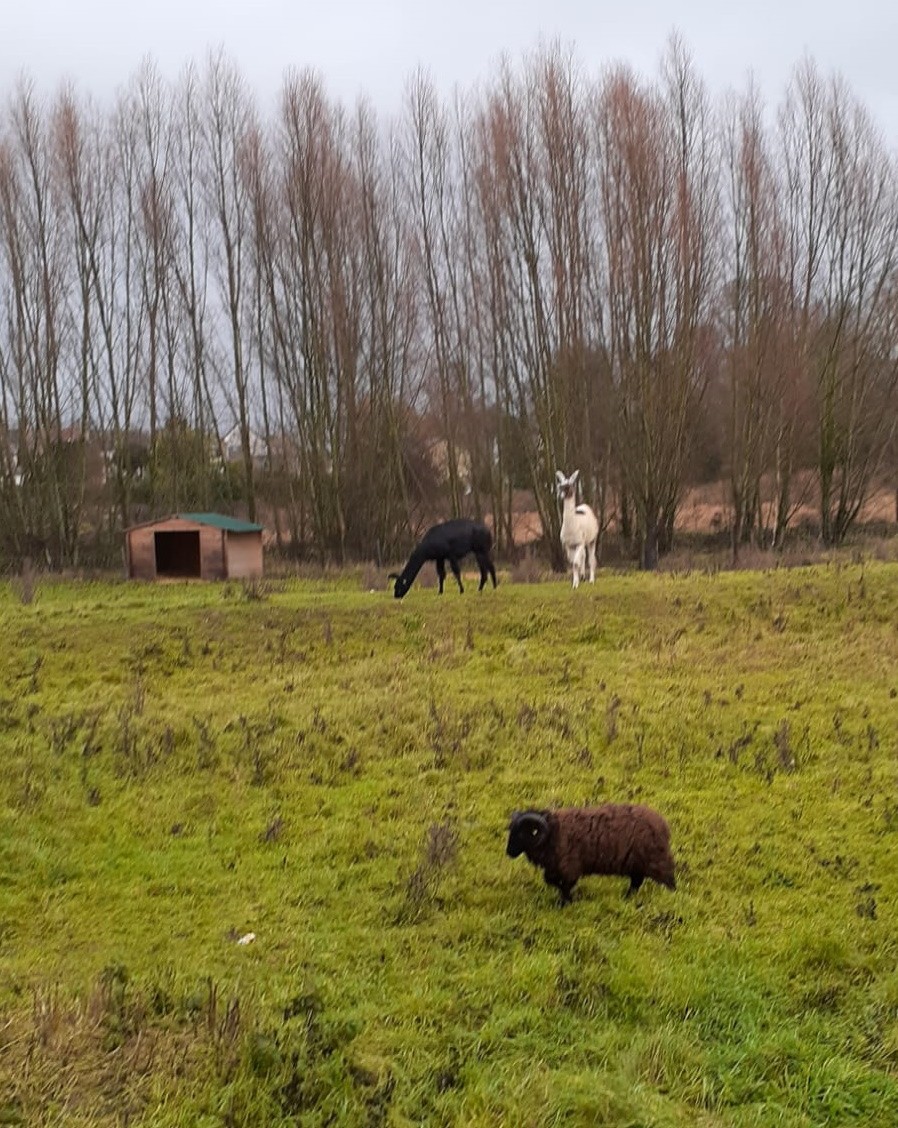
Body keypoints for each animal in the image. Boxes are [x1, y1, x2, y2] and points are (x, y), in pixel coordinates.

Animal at [507, 803, 676, 906]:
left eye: (521, 833)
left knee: (668, 881)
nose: (509, 852)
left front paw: (566, 903)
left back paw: (672, 897)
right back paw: (627, 898)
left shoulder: (570, 868)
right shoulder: (555, 868)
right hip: (636, 864)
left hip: (657, 861)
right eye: (511, 830)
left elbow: (564, 886)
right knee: (636, 882)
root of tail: (663, 826)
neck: (552, 833)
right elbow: (551, 881)